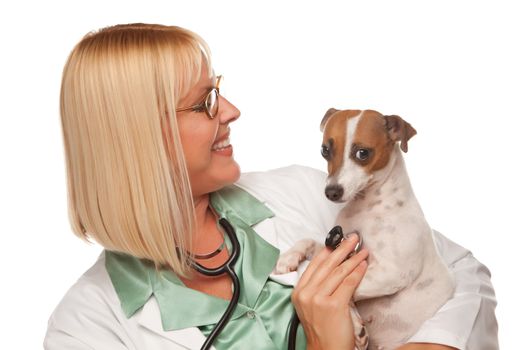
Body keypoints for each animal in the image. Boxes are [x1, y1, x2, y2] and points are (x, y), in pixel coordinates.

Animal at [278, 108, 454, 350]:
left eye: (363, 153)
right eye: (325, 150)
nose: (331, 192)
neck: (368, 207)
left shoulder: (392, 272)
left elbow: (348, 291)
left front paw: (354, 323)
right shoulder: (337, 247)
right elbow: (307, 241)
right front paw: (288, 258)